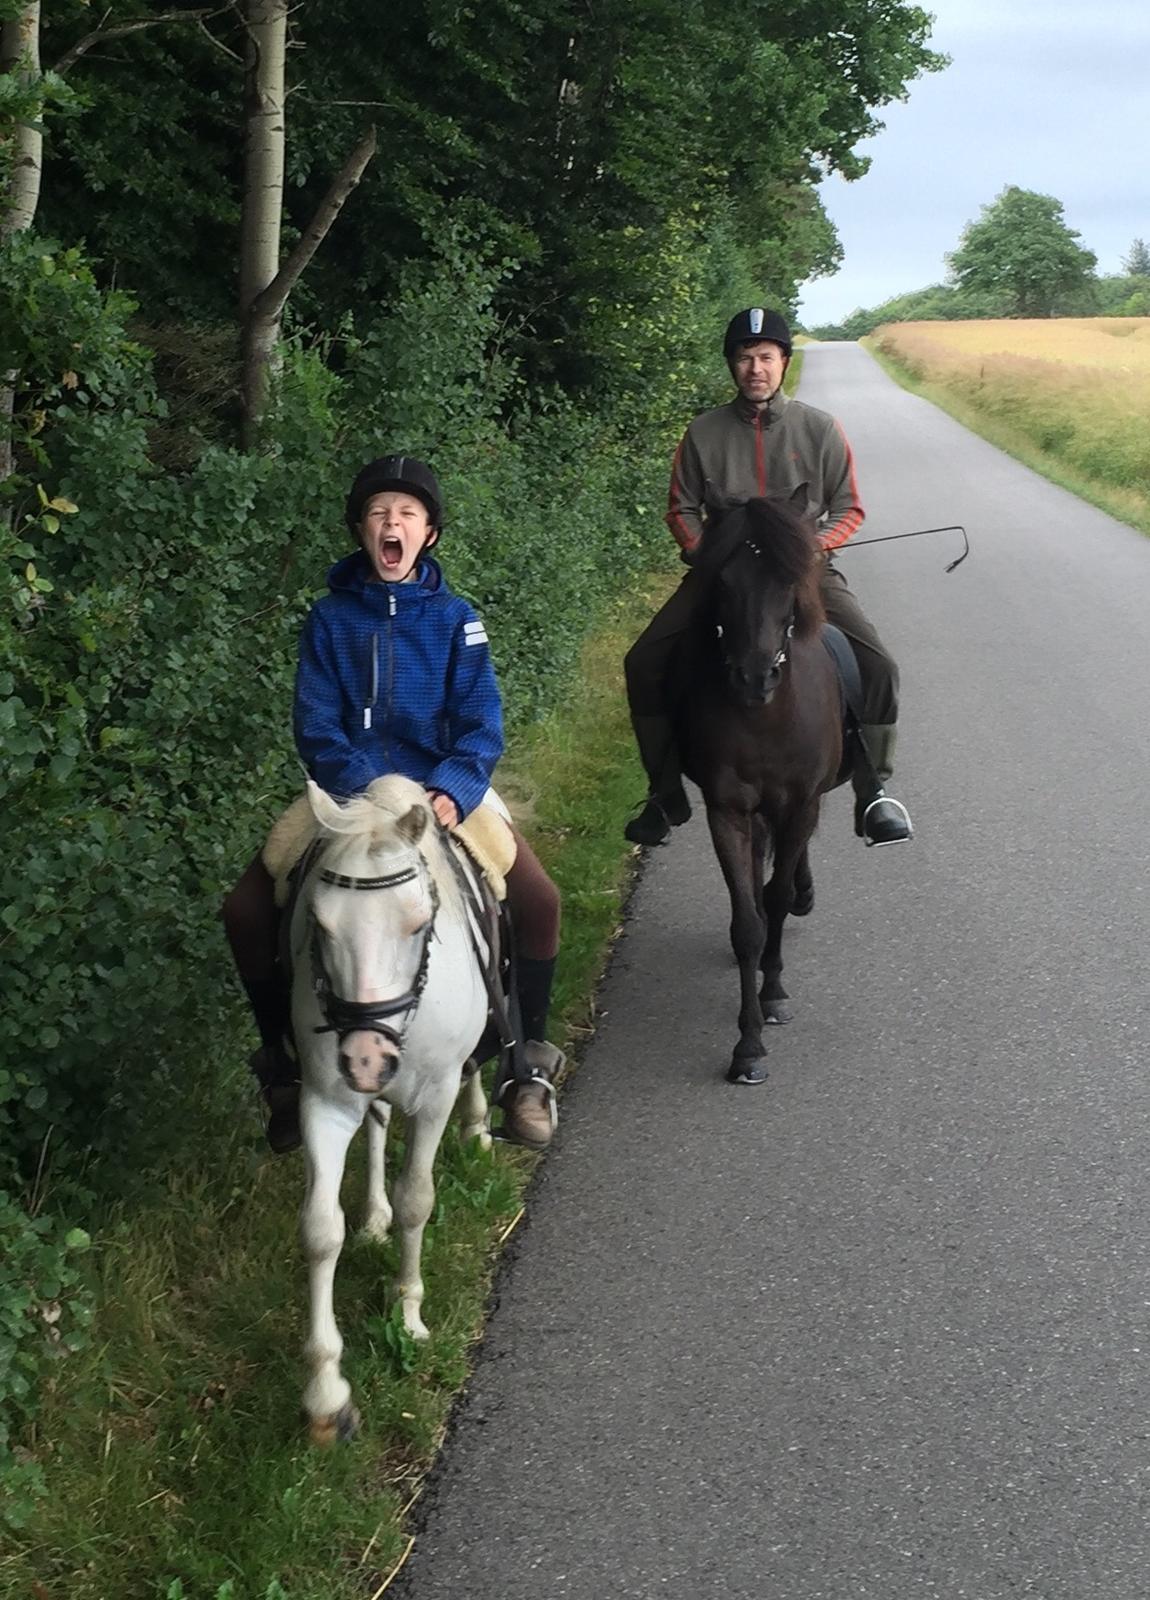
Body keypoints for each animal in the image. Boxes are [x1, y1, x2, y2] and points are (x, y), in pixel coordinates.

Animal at [292, 771, 489, 1440]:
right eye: (320, 924)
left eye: (418, 921)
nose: (365, 1058)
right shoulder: (324, 1101)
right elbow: (320, 1231)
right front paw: (327, 1394)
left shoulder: (434, 1097)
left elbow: (417, 1202)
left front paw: (408, 1314)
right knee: (377, 1124)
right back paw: (373, 1214)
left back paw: (483, 1126)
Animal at [674, 489, 844, 1088]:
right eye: (724, 581)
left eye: (790, 578)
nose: (754, 677)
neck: (766, 717)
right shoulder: (727, 811)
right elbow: (748, 921)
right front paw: (747, 1046)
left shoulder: (800, 804)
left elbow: (775, 896)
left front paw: (773, 994)